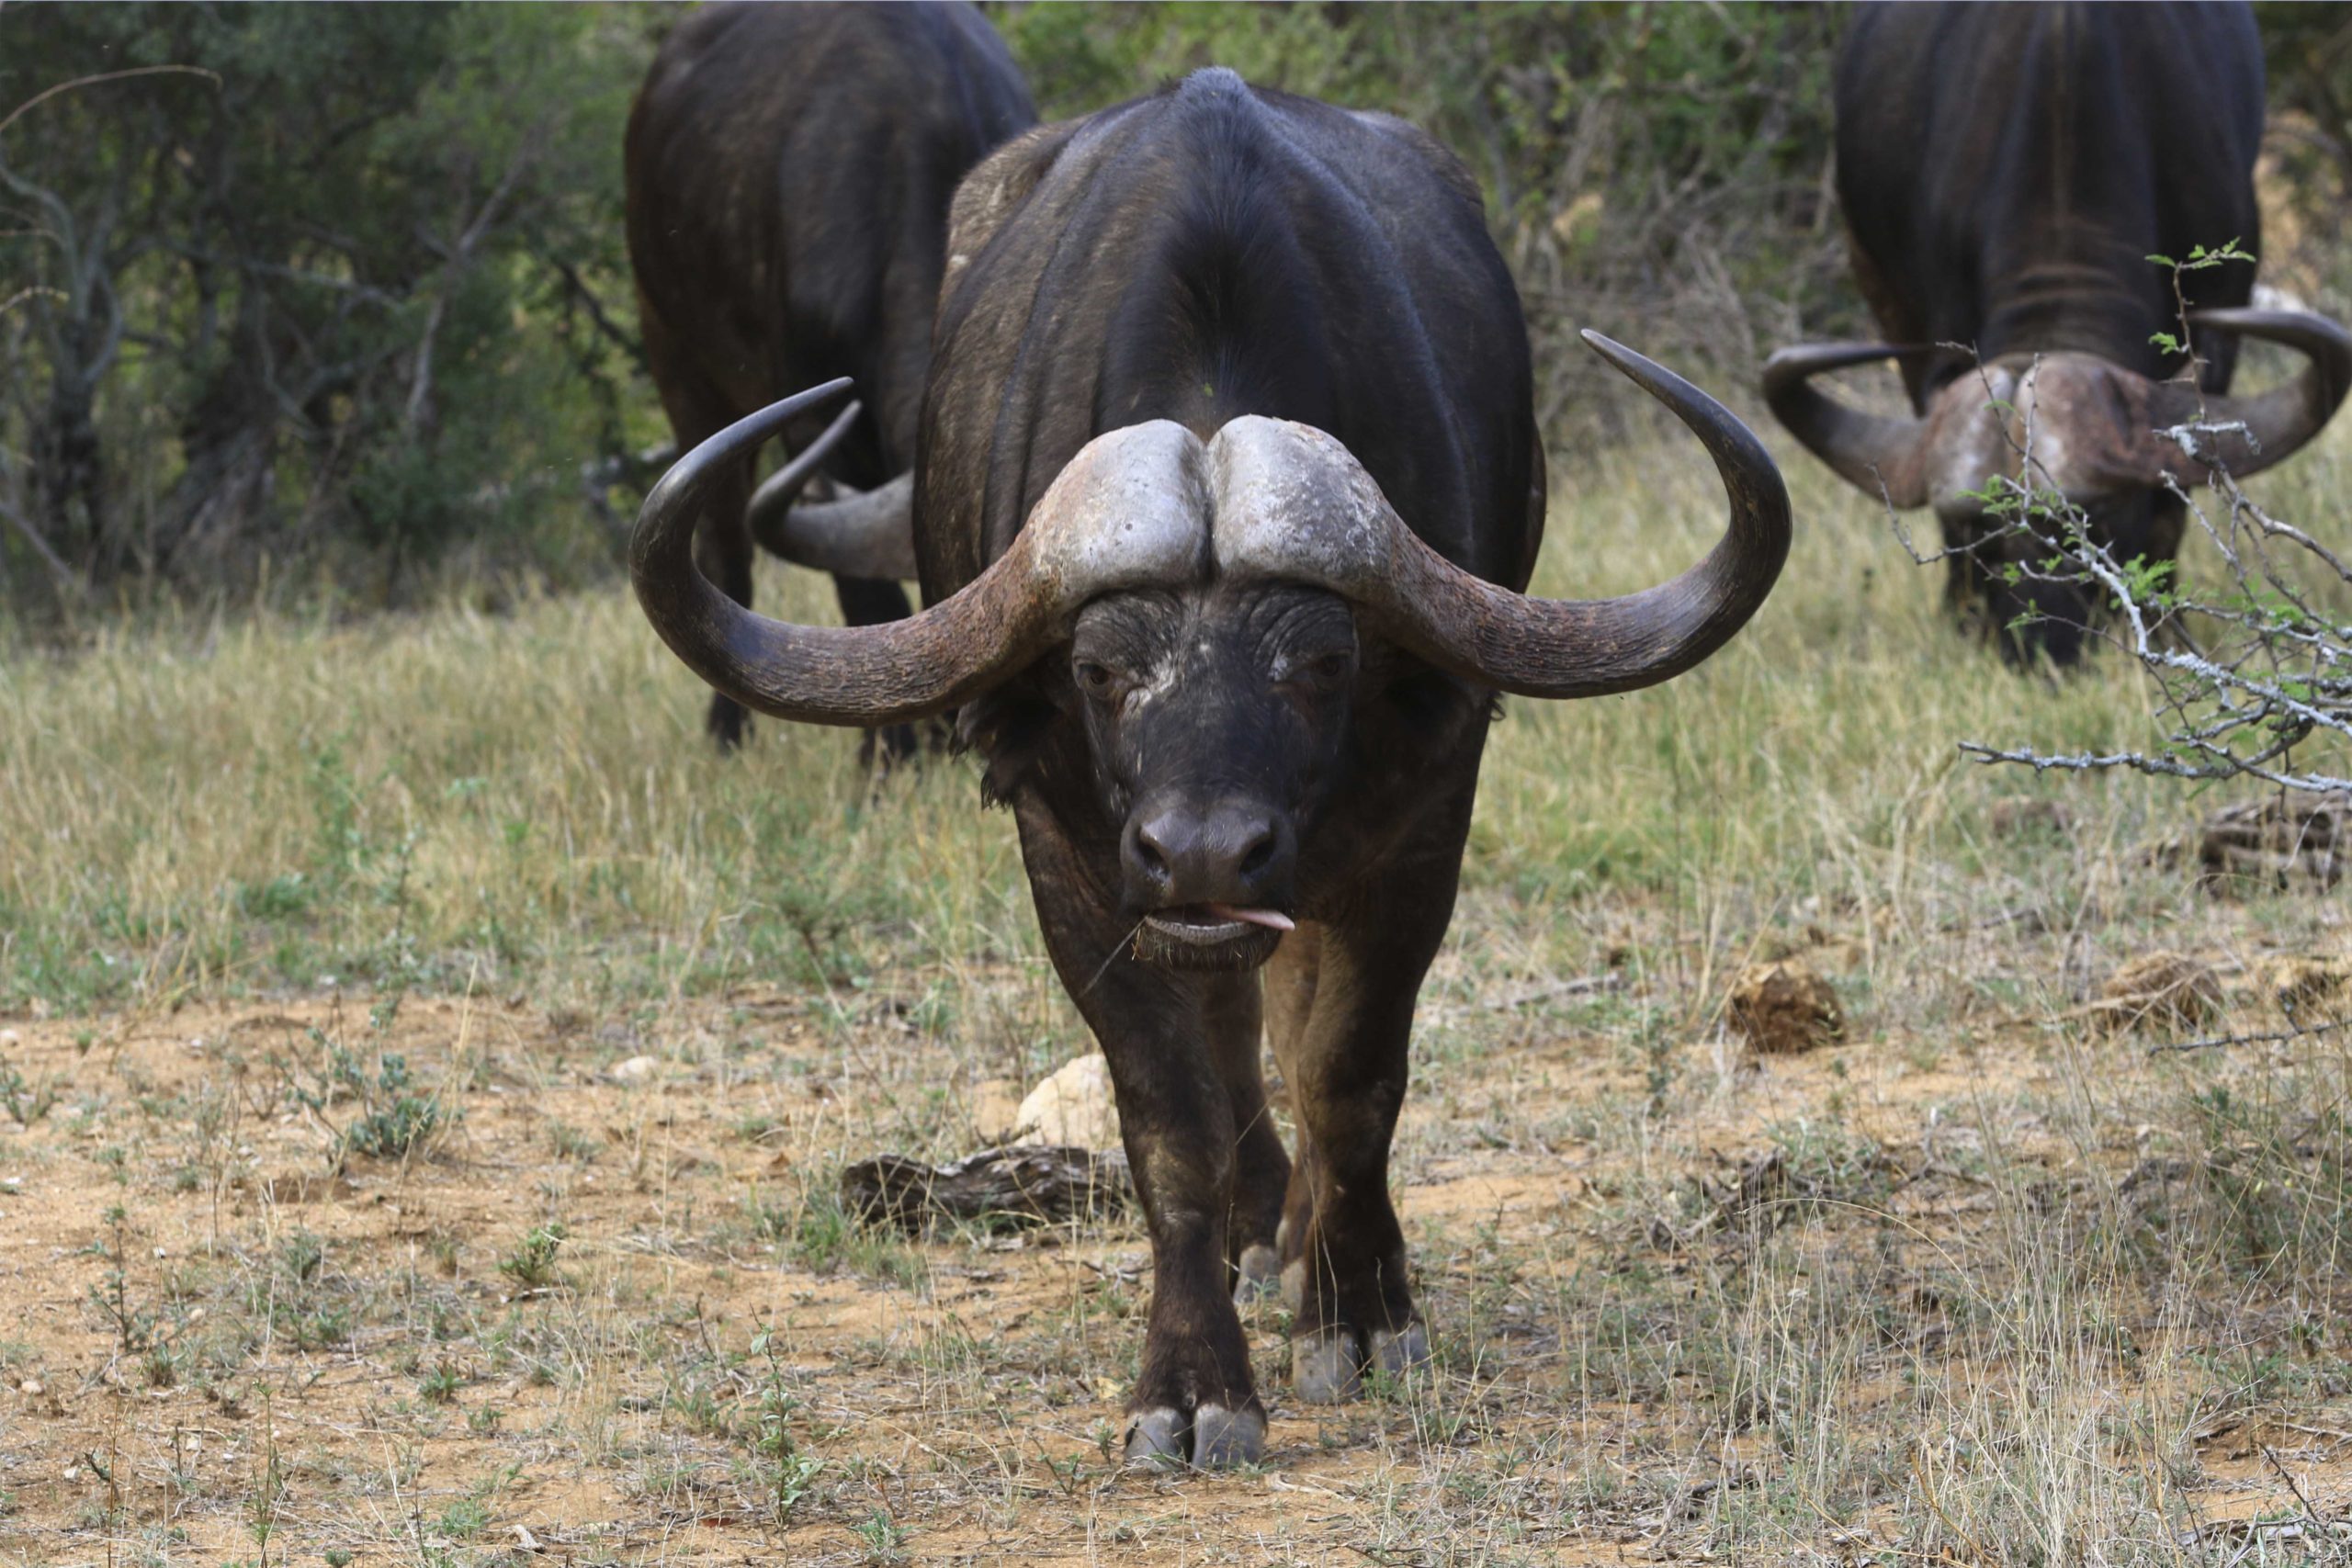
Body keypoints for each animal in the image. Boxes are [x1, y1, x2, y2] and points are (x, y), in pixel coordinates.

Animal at [620, 0, 1035, 747]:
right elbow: (861, 591)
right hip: (675, 360)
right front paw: (887, 751)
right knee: (726, 550)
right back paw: (727, 731)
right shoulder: (811, 420)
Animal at [625, 70, 1778, 1476]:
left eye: (1321, 662)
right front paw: (1188, 1379)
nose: (1207, 850)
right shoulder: (1072, 851)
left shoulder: (1423, 812)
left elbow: (1349, 1068)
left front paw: (1355, 1305)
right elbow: (1172, 1117)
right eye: (1100, 667)